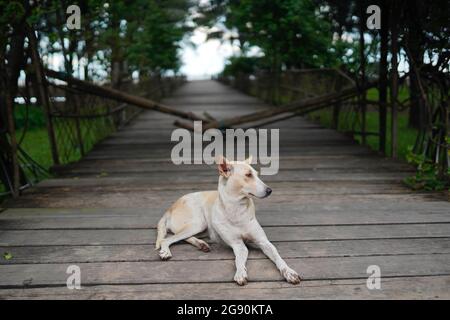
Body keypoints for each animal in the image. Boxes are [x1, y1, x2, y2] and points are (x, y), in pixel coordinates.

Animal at [156, 155, 302, 284]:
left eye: (256, 174)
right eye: (248, 175)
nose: (270, 190)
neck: (237, 210)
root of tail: (171, 207)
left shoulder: (264, 242)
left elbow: (279, 258)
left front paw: (289, 272)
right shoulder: (238, 245)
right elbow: (239, 261)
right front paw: (241, 273)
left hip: (201, 228)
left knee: (183, 237)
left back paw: (201, 244)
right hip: (198, 223)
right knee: (167, 239)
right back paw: (166, 251)